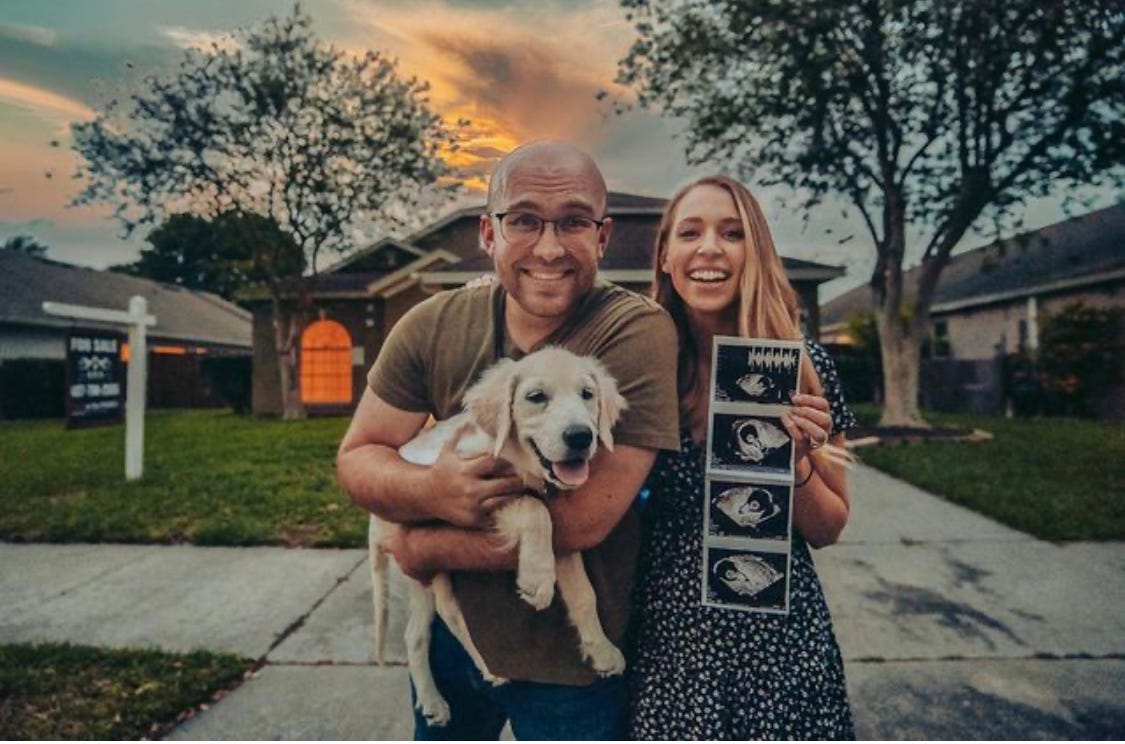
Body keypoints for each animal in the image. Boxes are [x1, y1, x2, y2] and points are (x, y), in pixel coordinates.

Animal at [373, 346, 630, 724]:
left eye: (587, 394)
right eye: (536, 397)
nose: (582, 437)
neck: (519, 460)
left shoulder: (565, 533)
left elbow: (584, 594)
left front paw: (602, 651)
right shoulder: (472, 494)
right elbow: (533, 510)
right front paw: (537, 580)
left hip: (420, 571)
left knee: (415, 635)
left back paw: (433, 701)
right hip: (426, 551)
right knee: (450, 611)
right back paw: (488, 670)